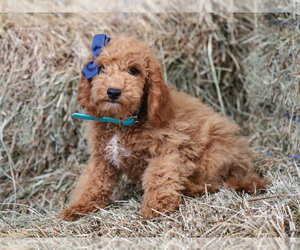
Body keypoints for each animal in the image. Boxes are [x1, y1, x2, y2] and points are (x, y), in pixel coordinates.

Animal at [58, 34, 264, 221]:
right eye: (101, 68)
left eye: (134, 70)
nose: (113, 92)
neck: (122, 122)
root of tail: (246, 166)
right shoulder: (102, 158)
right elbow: (92, 182)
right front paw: (78, 207)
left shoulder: (167, 149)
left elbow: (159, 175)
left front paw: (156, 206)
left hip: (214, 153)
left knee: (211, 183)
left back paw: (189, 187)